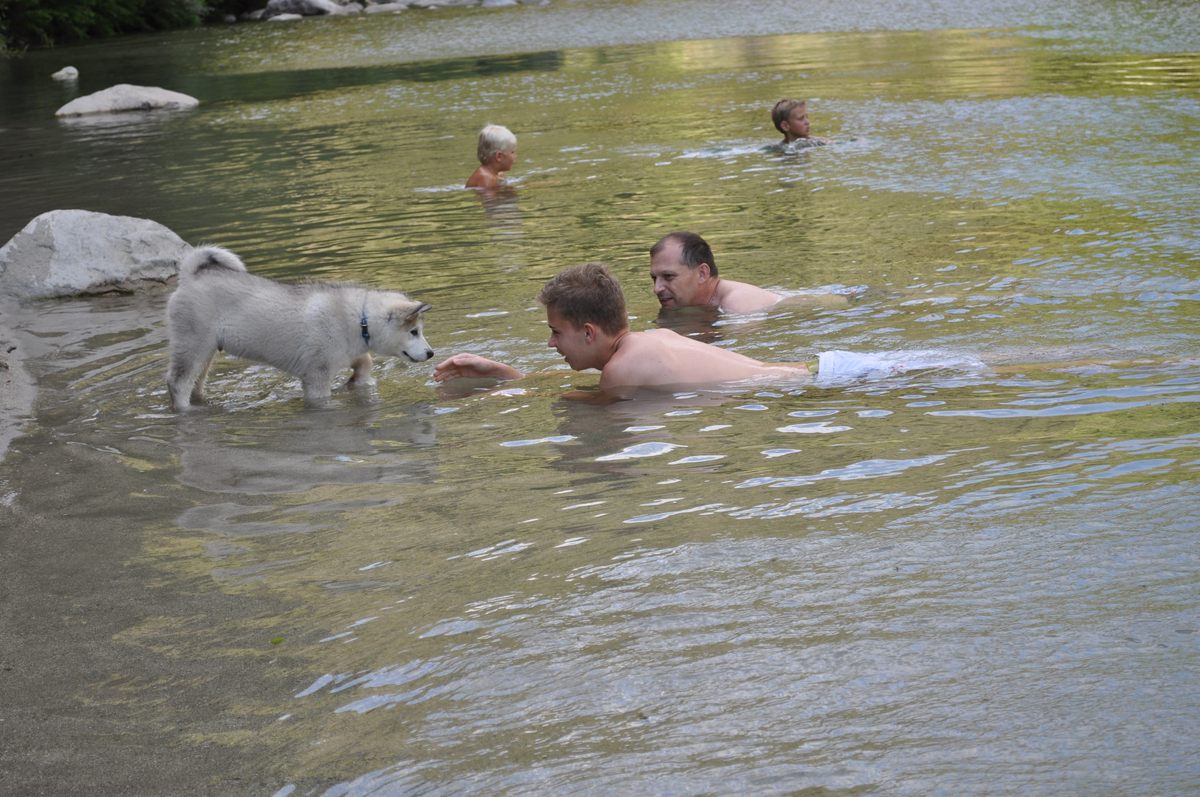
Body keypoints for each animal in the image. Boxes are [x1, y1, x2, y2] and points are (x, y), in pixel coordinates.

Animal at [166, 246, 433, 409]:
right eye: (414, 332)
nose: (431, 353)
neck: (361, 319)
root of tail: (191, 276)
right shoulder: (316, 376)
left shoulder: (349, 353)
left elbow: (364, 362)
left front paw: (357, 382)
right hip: (192, 346)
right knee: (178, 383)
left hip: (207, 352)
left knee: (196, 383)